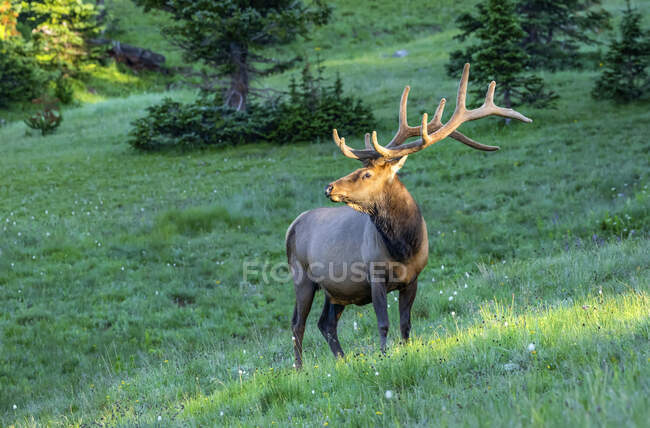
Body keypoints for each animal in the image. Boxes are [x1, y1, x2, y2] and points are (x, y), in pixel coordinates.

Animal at [286, 63, 528, 368]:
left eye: (366, 174)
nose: (330, 187)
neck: (403, 247)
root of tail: (292, 225)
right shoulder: (374, 275)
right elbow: (383, 323)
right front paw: (383, 355)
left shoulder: (413, 279)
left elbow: (405, 323)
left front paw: (405, 351)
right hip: (302, 277)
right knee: (298, 324)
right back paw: (299, 368)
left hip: (335, 290)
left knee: (325, 324)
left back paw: (342, 361)